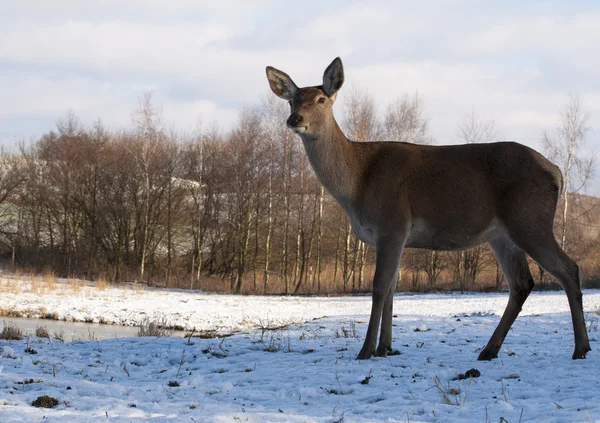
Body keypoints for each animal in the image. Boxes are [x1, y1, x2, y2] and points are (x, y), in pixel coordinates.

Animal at [266, 56, 592, 362]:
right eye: (293, 100)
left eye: (321, 100)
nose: (294, 118)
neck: (357, 183)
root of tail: (557, 171)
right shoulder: (395, 236)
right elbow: (392, 288)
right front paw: (385, 347)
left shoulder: (392, 224)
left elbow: (379, 287)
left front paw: (366, 350)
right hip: (502, 234)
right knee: (522, 283)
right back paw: (489, 350)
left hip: (530, 219)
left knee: (568, 268)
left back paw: (580, 348)